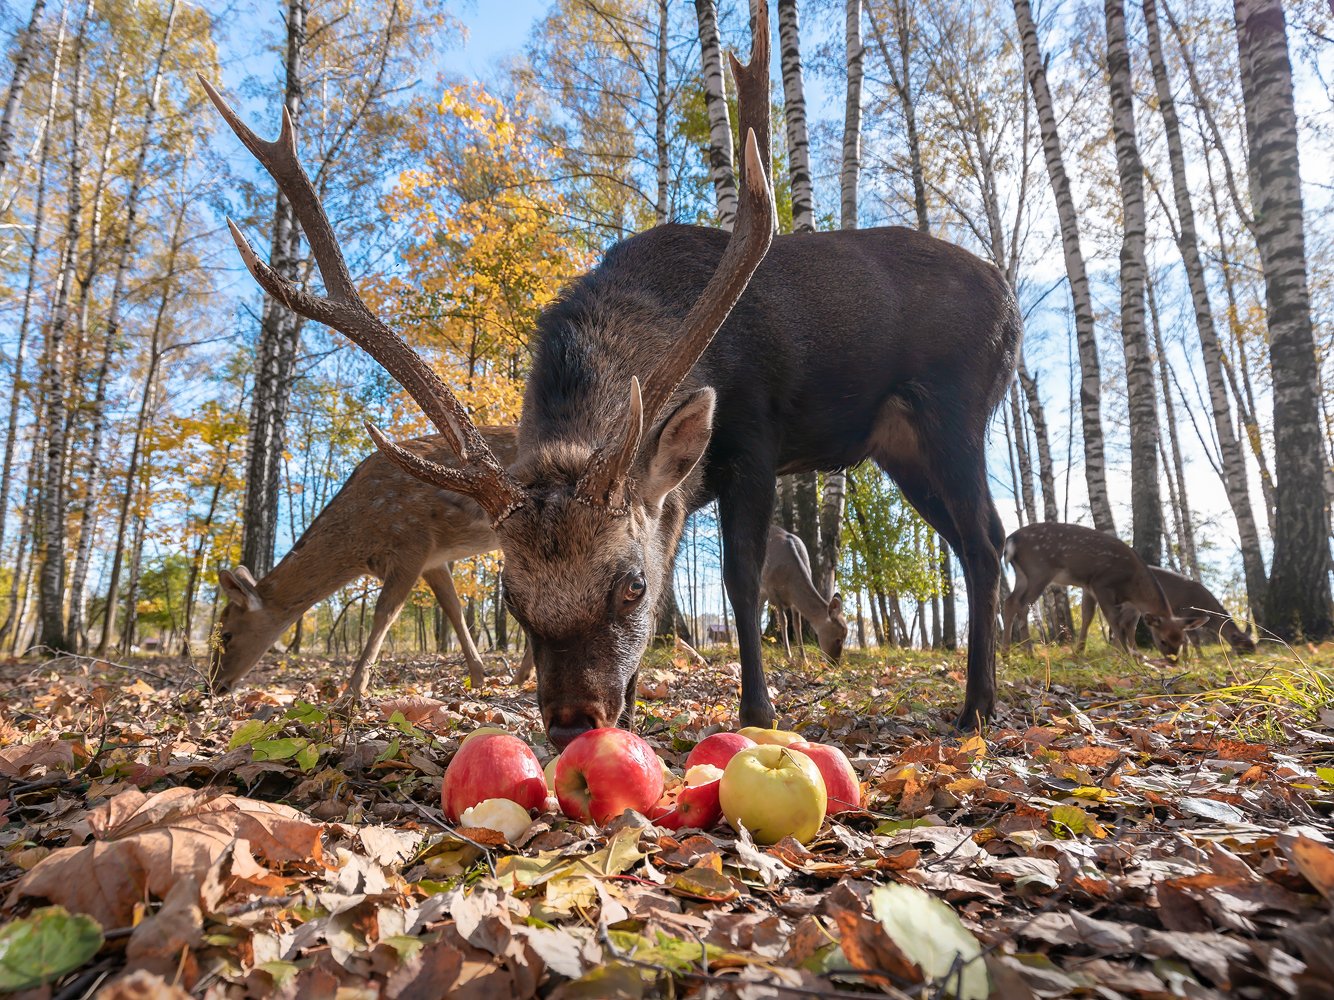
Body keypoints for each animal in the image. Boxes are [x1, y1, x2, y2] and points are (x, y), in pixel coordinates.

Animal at [205, 429, 528, 698]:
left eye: (227, 634)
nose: (213, 686)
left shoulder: (412, 542)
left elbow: (384, 613)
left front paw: (352, 692)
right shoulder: (434, 560)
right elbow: (454, 610)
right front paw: (479, 679)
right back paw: (521, 676)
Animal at [763, 525, 843, 666]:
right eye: (838, 639)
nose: (835, 663)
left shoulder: (794, 602)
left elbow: (797, 624)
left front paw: (804, 659)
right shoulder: (771, 589)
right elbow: (784, 620)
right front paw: (789, 657)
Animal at [1003, 520, 1211, 661]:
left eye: (1181, 640)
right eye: (1162, 640)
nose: (1173, 661)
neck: (1131, 583)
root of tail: (1011, 539)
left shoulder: (1088, 587)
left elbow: (1088, 617)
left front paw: (1080, 652)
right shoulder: (1101, 583)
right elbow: (1114, 620)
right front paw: (1126, 655)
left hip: (1022, 574)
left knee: (1010, 601)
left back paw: (1009, 654)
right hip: (1039, 570)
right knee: (1022, 604)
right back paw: (1027, 653)